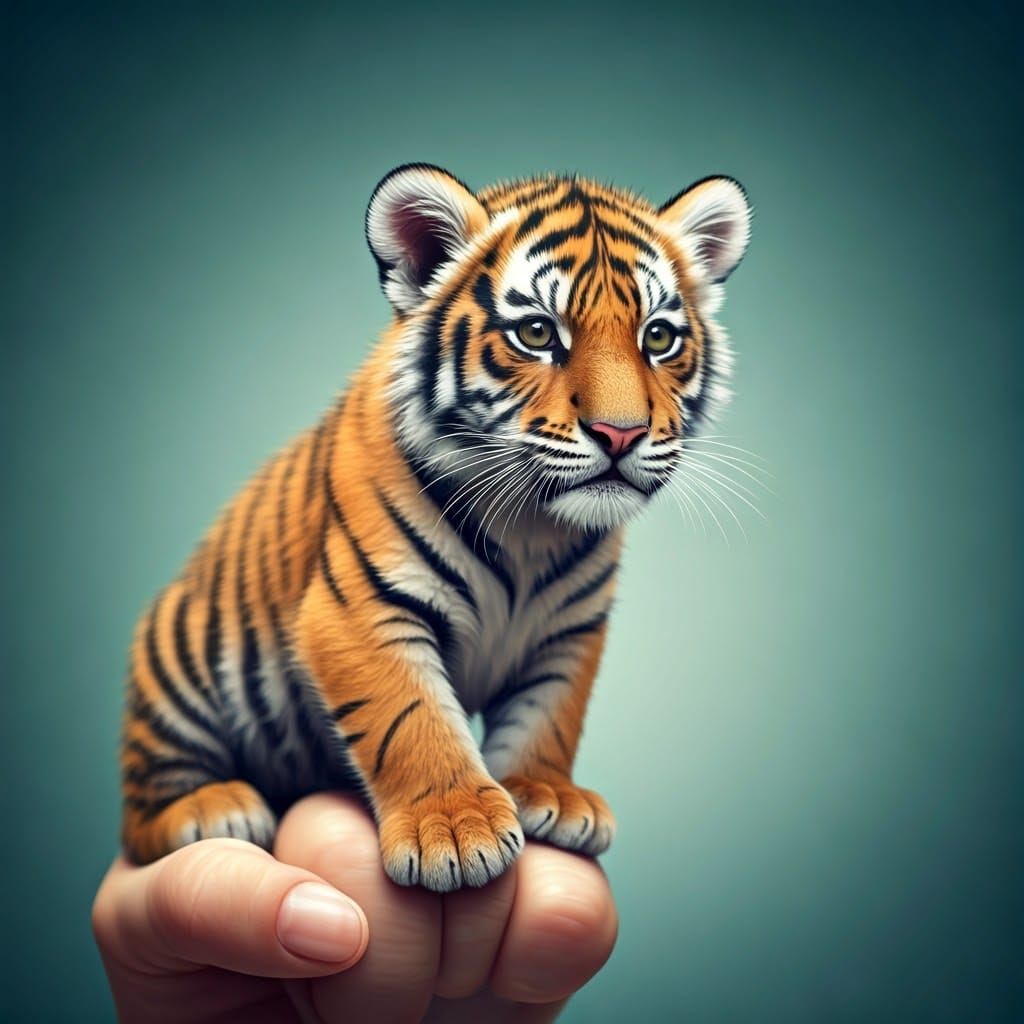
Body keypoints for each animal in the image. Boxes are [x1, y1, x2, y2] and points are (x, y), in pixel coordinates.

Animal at [120, 164, 752, 891]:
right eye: (538, 334)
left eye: (658, 338)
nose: (620, 433)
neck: (534, 525)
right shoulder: (359, 609)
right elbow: (409, 716)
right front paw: (452, 829)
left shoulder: (569, 630)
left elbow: (551, 715)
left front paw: (548, 794)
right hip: (176, 665)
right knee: (142, 814)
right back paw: (212, 809)